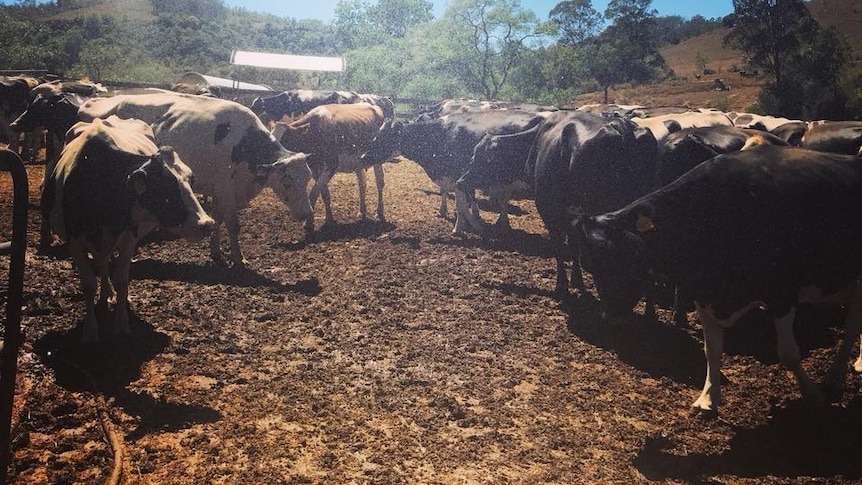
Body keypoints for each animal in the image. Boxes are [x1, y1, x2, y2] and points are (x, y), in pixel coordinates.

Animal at [44, 114, 214, 340]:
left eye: (190, 180)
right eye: (165, 190)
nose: (207, 224)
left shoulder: (127, 236)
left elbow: (122, 280)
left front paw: (122, 323)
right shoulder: (75, 239)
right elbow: (88, 284)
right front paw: (90, 331)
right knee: (102, 260)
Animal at [77, 92, 314, 266]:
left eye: (307, 179)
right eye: (287, 182)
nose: (307, 213)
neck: (244, 144)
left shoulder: (220, 191)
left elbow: (217, 220)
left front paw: (216, 252)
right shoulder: (226, 189)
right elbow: (233, 225)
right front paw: (239, 259)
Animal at [576, 142, 862, 414]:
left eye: (625, 257)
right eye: (592, 265)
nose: (612, 315)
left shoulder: (782, 292)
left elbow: (789, 353)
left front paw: (812, 395)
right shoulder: (704, 292)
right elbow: (711, 349)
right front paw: (708, 398)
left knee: (850, 331)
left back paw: (835, 376)